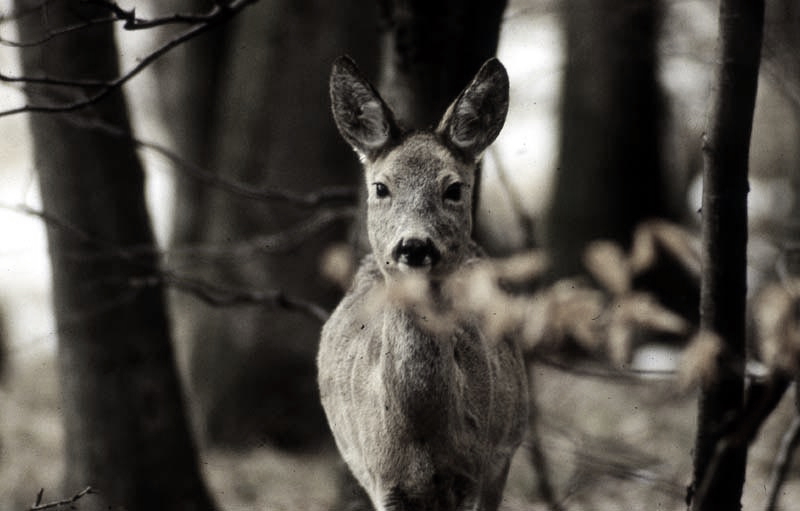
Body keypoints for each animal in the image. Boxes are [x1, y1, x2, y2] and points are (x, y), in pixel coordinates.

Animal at [318, 56, 532, 511]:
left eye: (453, 188)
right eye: (381, 186)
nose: (414, 245)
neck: (421, 438)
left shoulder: (474, 471)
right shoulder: (382, 479)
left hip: (506, 450)